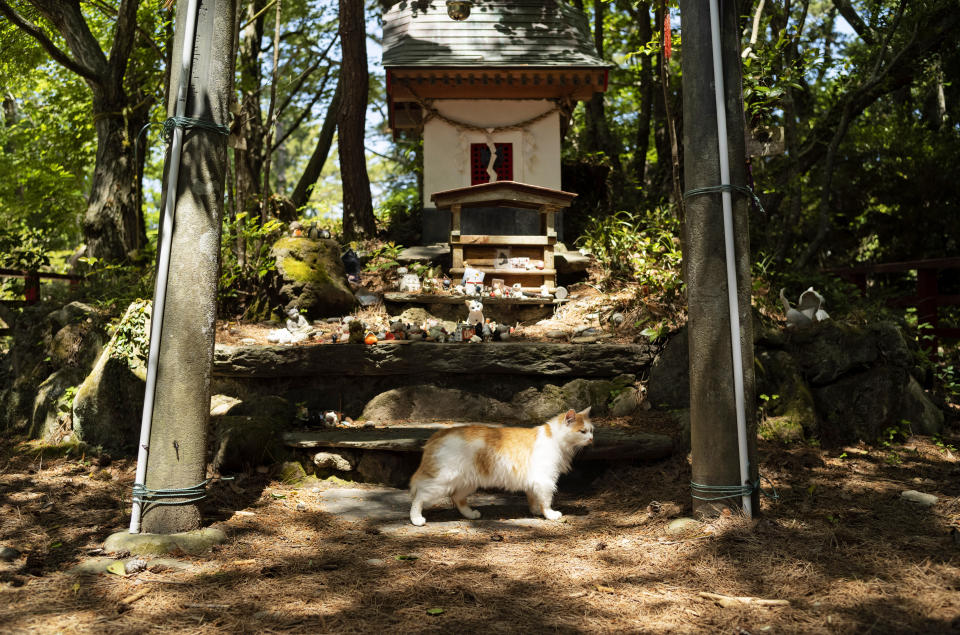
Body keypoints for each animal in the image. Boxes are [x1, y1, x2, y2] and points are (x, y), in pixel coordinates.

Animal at [406, 408, 592, 528]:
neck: (555, 439)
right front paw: (549, 514)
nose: (591, 439)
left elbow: (534, 498)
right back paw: (416, 519)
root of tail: (439, 433)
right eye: (583, 431)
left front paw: (535, 511)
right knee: (419, 496)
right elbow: (546, 501)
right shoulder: (545, 481)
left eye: (591, 431)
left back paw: (471, 514)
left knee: (457, 498)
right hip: (442, 481)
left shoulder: (535, 481)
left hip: (468, 482)